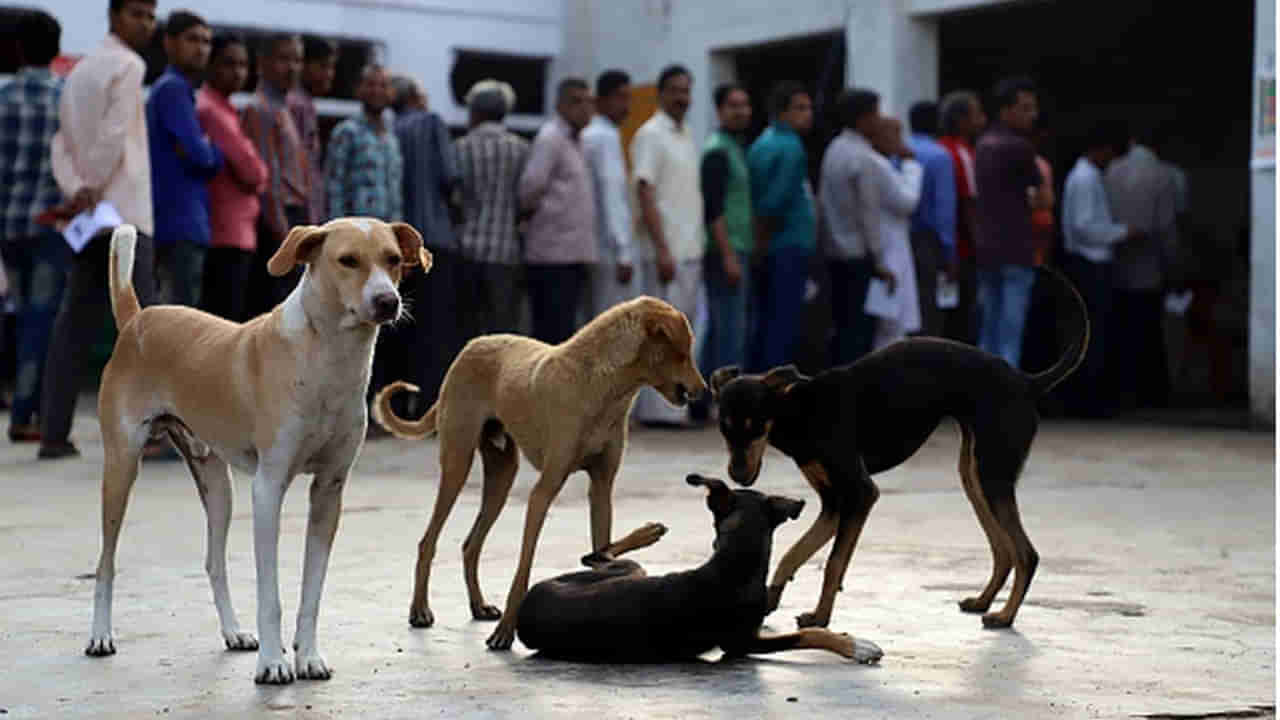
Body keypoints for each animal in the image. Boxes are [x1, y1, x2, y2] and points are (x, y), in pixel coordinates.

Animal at [90, 215, 432, 681]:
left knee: (214, 562)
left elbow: (312, 592)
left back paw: (234, 633)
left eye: (394, 260)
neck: (324, 358)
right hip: (121, 470)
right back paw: (100, 636)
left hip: (218, 486)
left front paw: (308, 655)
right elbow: (270, 595)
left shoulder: (329, 491)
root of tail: (137, 320)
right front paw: (273, 663)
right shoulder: (268, 489)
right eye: (348, 260)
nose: (387, 301)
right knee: (105, 563)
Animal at [371, 294, 711, 648]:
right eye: (682, 352)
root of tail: (471, 345)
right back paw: (420, 610)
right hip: (457, 464)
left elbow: (602, 550)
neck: (600, 384)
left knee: (470, 545)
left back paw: (478, 605)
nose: (705, 389)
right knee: (428, 542)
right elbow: (524, 568)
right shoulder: (543, 492)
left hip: (501, 476)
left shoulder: (601, 487)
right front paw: (506, 631)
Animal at [514, 471, 885, 661]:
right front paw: (856, 646)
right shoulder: (741, 644)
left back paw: (648, 531)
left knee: (594, 556)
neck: (735, 560)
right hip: (631, 572)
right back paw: (647, 532)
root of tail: (527, 602)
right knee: (595, 556)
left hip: (619, 573)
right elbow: (808, 634)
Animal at [711, 265, 1090, 627]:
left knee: (1026, 553)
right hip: (975, 476)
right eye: (724, 430)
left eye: (756, 427)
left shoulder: (859, 495)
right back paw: (983, 601)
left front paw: (821, 618)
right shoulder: (834, 503)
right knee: (1003, 549)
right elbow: (794, 553)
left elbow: (833, 564)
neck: (800, 409)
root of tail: (1025, 382)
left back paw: (1005, 616)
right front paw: (773, 597)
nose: (738, 474)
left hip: (992, 476)